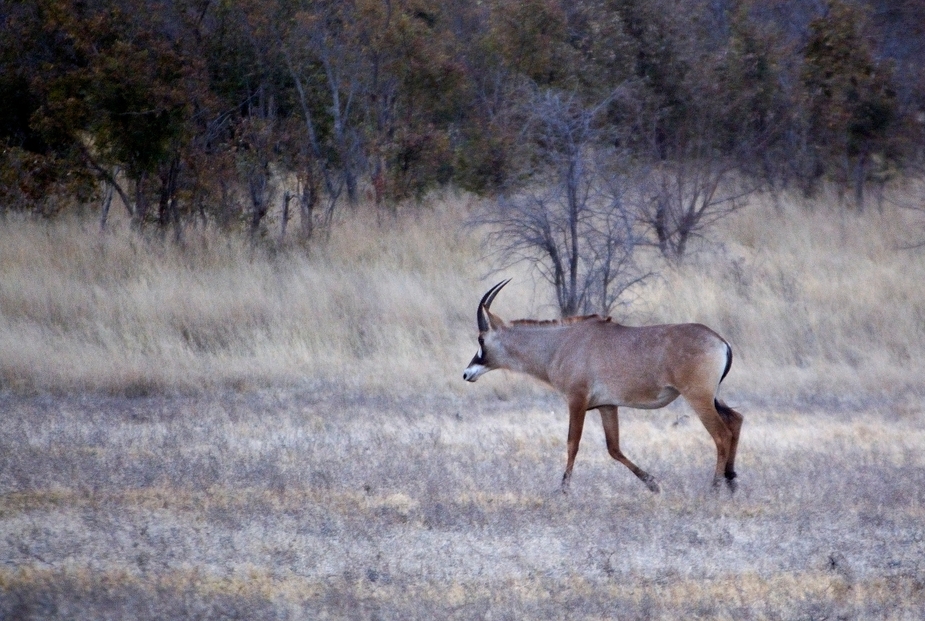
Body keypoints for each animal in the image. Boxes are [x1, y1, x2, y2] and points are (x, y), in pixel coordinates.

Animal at [462, 278, 744, 492]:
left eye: (481, 339)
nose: (467, 374)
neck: (560, 344)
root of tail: (719, 340)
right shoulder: (607, 406)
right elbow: (614, 448)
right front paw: (653, 484)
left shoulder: (577, 401)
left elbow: (572, 443)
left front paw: (563, 490)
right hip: (713, 397)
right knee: (735, 420)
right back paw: (731, 481)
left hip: (698, 398)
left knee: (721, 434)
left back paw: (715, 487)